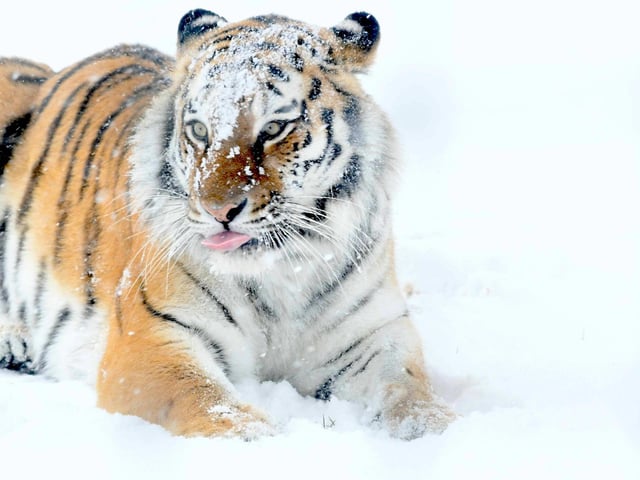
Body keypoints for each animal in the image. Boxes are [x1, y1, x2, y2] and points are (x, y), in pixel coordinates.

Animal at [0, 9, 455, 439]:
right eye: (200, 130)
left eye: (274, 128)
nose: (218, 211)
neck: (281, 271)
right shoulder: (152, 338)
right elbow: (205, 401)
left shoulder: (373, 335)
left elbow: (408, 390)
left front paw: (436, 430)